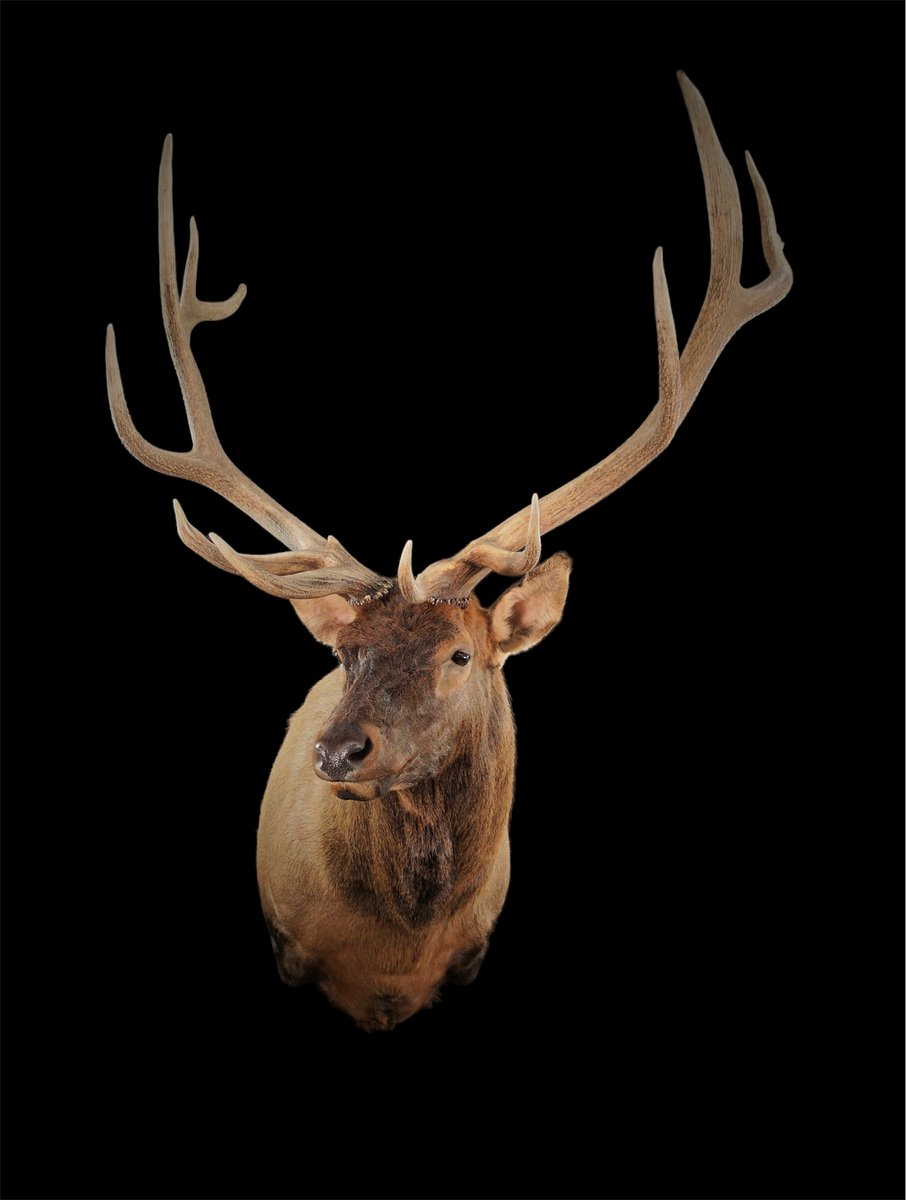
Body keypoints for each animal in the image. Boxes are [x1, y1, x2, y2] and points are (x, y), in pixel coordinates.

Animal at [106, 73, 791, 1030]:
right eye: (346, 653)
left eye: (462, 654)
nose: (336, 755)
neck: (396, 956)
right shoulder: (288, 947)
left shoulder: (472, 957)